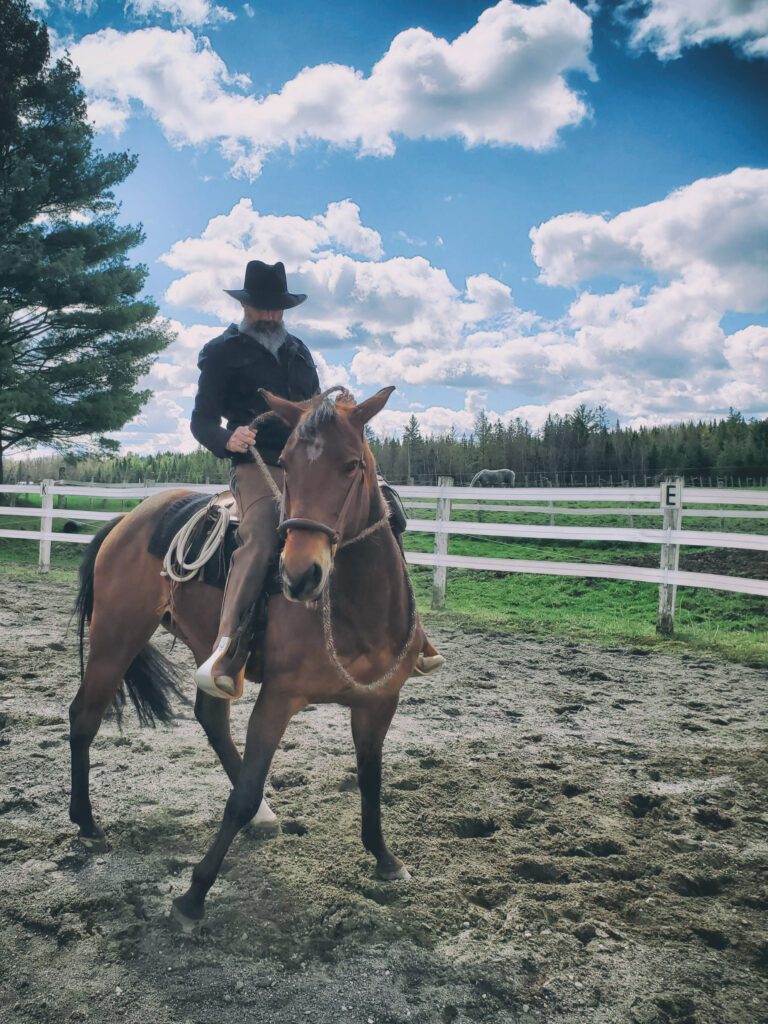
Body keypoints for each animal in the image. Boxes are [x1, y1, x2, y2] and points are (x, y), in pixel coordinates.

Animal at [68, 385, 423, 929]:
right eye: (288, 464)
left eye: (351, 465)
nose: (299, 575)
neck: (354, 606)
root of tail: (129, 518)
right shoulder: (278, 698)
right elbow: (245, 791)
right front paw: (193, 895)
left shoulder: (379, 701)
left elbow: (370, 779)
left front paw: (385, 859)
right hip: (114, 635)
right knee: (84, 715)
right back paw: (87, 823)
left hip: (205, 647)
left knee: (210, 716)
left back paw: (263, 818)